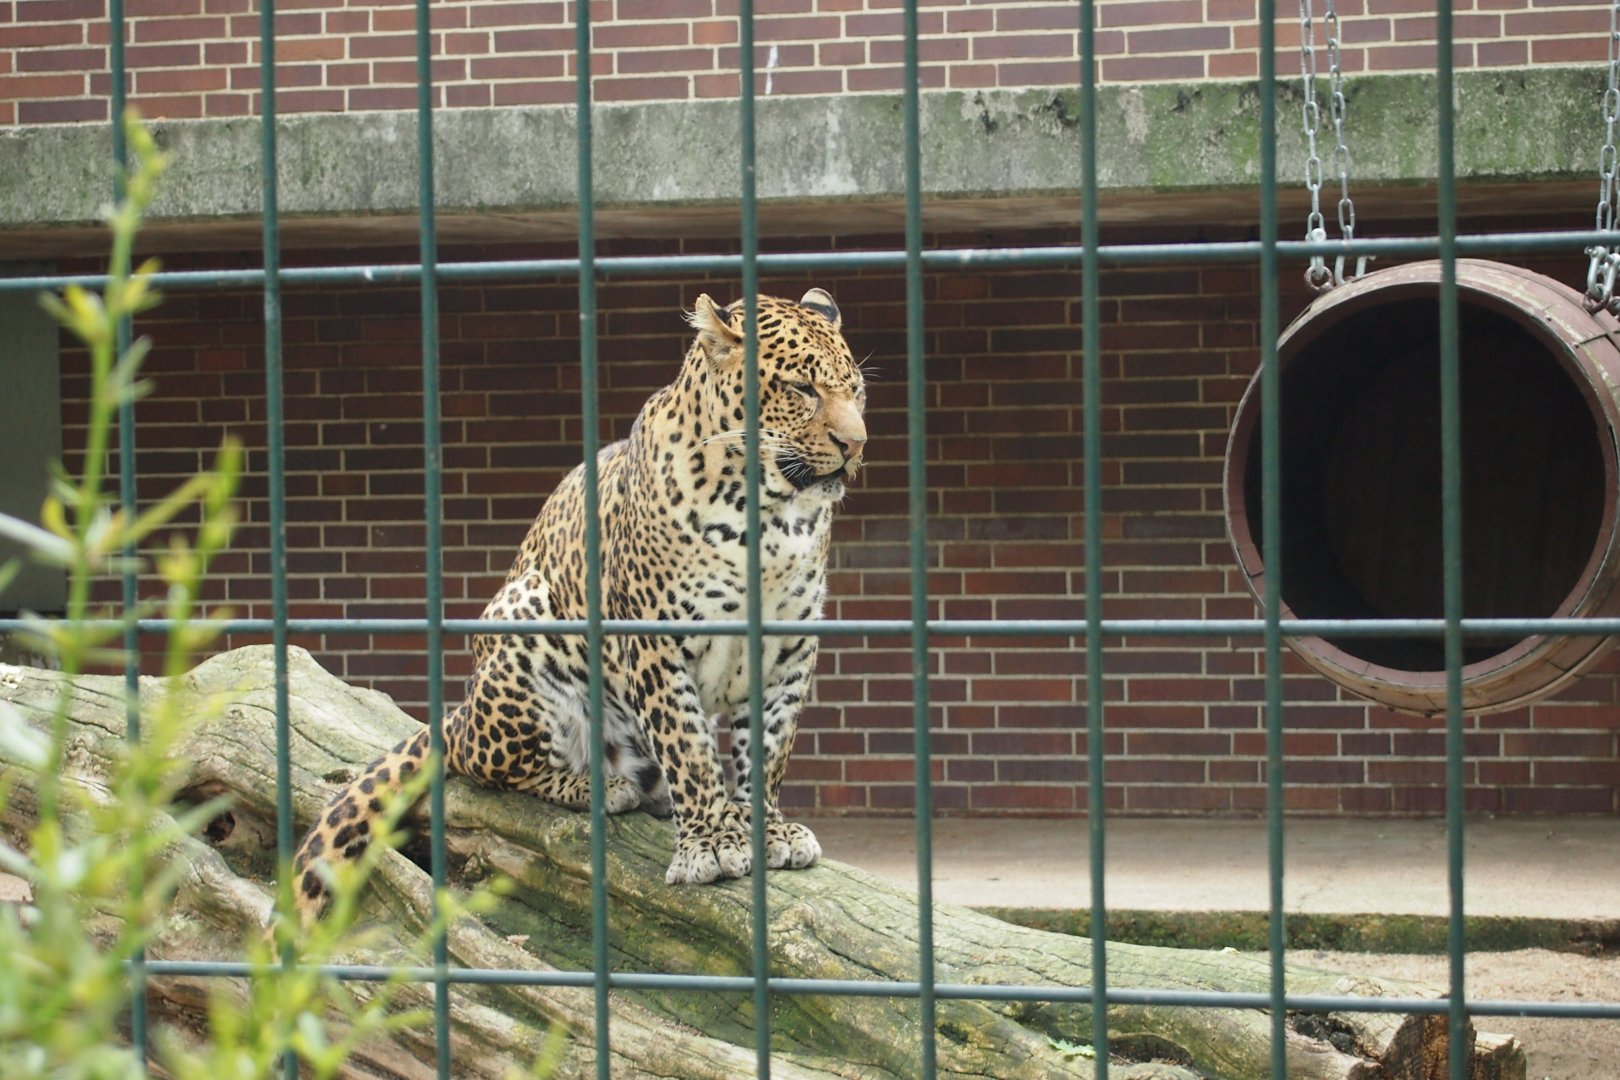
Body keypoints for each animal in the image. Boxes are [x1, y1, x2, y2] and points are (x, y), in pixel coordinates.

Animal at [289, 288, 866, 923]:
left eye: (857, 391)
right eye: (802, 389)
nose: (856, 443)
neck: (770, 516)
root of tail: (459, 712)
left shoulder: (789, 650)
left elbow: (770, 746)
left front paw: (766, 827)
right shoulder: (654, 641)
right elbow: (689, 745)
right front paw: (712, 842)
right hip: (526, 621)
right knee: (488, 765)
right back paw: (600, 785)